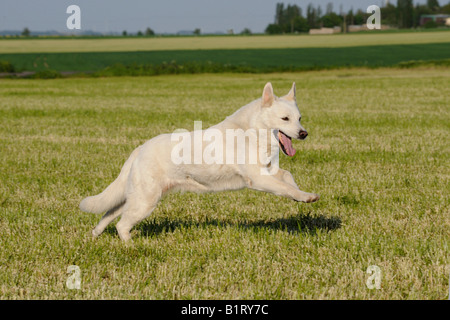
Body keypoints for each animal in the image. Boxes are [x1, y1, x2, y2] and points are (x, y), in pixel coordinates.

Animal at [81, 82, 320, 240]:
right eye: (285, 119)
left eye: (299, 118)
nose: (304, 133)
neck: (251, 131)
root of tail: (140, 149)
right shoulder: (258, 179)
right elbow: (284, 187)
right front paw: (305, 196)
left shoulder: (269, 170)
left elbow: (288, 178)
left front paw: (300, 195)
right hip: (145, 201)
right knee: (121, 225)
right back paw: (131, 245)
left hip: (134, 197)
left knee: (109, 213)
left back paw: (95, 234)